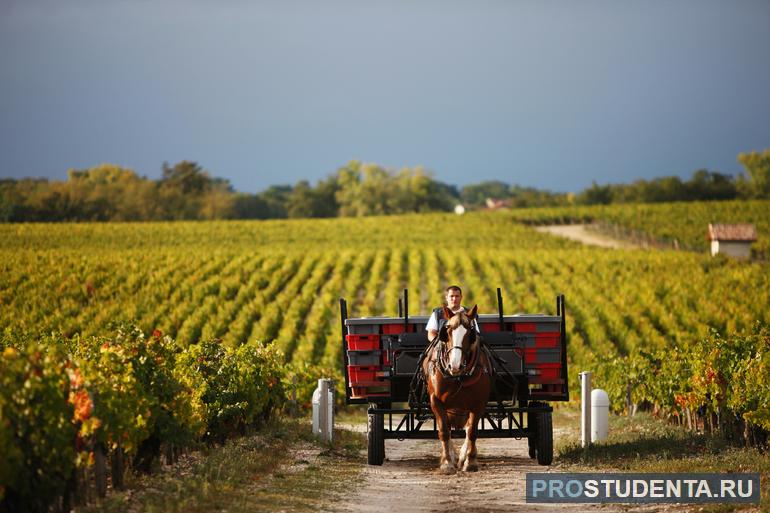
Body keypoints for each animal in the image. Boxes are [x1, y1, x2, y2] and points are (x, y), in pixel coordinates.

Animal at [424, 304, 488, 472]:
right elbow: (444, 431)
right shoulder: (436, 401)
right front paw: (447, 462)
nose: (455, 365)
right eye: (447, 331)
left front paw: (470, 461)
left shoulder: (478, 403)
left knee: (467, 429)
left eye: (471, 332)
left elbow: (472, 432)